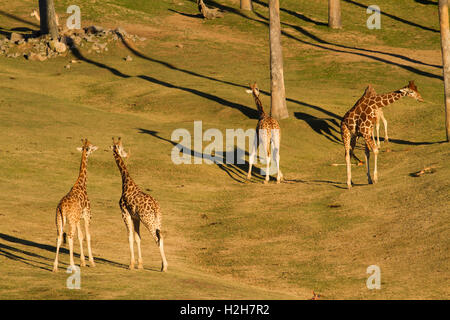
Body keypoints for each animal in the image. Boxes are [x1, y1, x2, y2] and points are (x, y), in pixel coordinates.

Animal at [53, 139, 98, 272]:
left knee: (59, 237)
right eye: (90, 147)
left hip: (59, 219)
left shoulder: (78, 218)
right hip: (71, 220)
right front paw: (91, 262)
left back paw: (55, 267)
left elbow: (80, 236)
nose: (95, 147)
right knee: (69, 236)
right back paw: (72, 265)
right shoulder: (87, 216)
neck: (82, 184)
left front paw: (83, 262)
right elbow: (87, 236)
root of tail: (62, 207)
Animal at [110, 136, 169, 272]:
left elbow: (130, 237)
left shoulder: (125, 213)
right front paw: (140, 264)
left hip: (148, 220)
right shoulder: (135, 217)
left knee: (157, 238)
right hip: (158, 220)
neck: (126, 183)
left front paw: (131, 265)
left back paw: (165, 267)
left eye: (119, 147)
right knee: (161, 236)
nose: (124, 154)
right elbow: (138, 238)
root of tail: (156, 208)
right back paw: (162, 265)